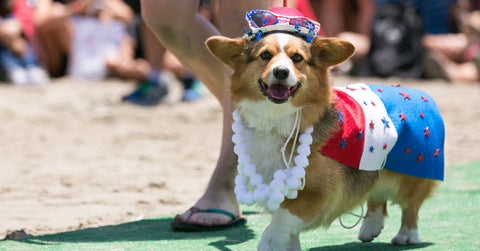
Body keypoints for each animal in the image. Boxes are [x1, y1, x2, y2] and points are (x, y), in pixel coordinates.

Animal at [204, 6, 444, 250]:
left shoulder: (315, 194)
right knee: (376, 194)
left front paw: (268, 242)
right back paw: (371, 226)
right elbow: (289, 231)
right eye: (265, 56)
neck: (276, 119)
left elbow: (280, 220)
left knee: (410, 205)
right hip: (375, 165)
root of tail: (419, 93)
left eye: (297, 58)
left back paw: (407, 235)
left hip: (413, 170)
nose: (281, 72)